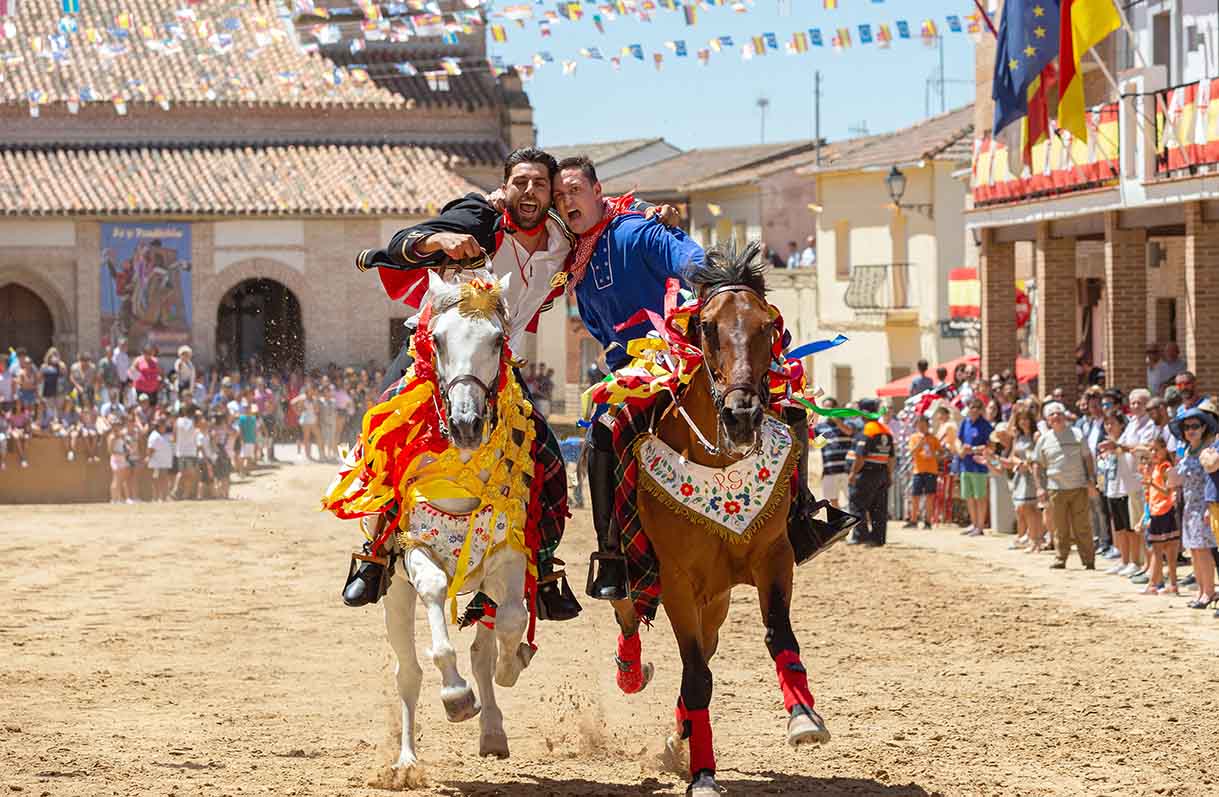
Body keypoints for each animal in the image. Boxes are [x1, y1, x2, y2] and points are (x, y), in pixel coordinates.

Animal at [377, 271, 536, 779]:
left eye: (497, 339)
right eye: (439, 340)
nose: (467, 423)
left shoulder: (506, 553)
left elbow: (511, 621)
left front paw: (512, 664)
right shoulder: (417, 550)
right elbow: (436, 621)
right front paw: (455, 696)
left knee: (483, 650)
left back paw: (493, 732)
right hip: (393, 593)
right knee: (407, 673)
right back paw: (407, 761)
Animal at [609, 243, 828, 797]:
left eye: (768, 326)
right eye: (706, 327)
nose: (742, 415)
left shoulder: (774, 559)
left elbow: (777, 637)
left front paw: (803, 718)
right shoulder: (677, 583)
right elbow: (695, 676)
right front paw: (703, 774)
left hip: (719, 600)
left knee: (703, 655)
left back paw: (680, 733)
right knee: (629, 614)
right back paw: (631, 672)